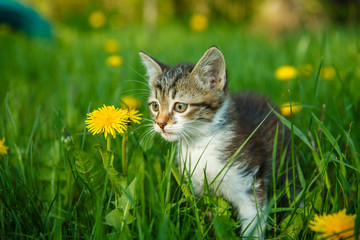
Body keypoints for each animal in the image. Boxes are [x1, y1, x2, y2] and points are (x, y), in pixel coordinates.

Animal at [139, 47, 288, 238]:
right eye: (155, 106)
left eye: (180, 106)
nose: (160, 124)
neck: (200, 144)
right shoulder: (198, 188)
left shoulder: (249, 184)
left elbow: (253, 221)